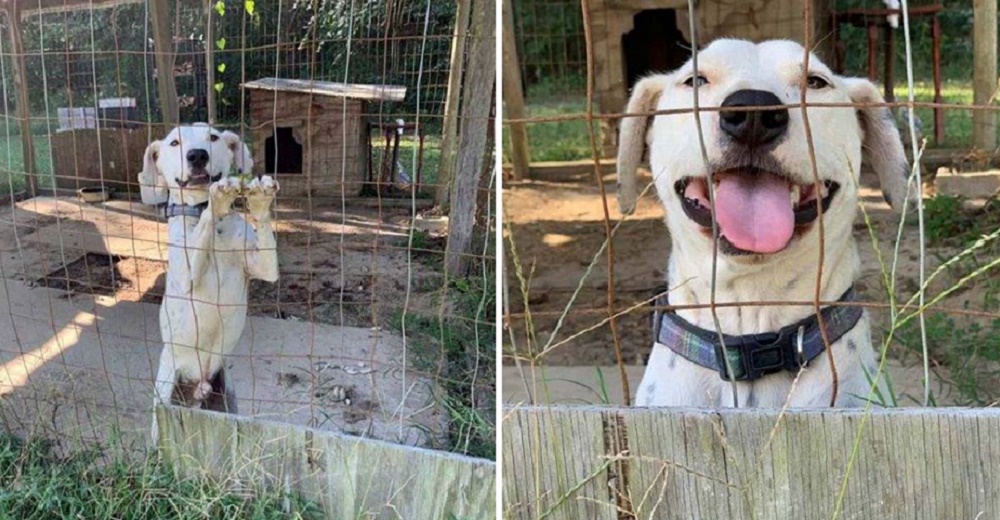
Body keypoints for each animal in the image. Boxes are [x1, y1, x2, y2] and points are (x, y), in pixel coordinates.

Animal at [139, 125, 280, 438]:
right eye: (174, 142)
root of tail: (197, 389)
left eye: (213, 137)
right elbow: (205, 220)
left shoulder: (265, 267)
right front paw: (216, 200)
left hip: (227, 400)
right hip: (162, 404)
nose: (197, 155)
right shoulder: (187, 276)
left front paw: (260, 200)